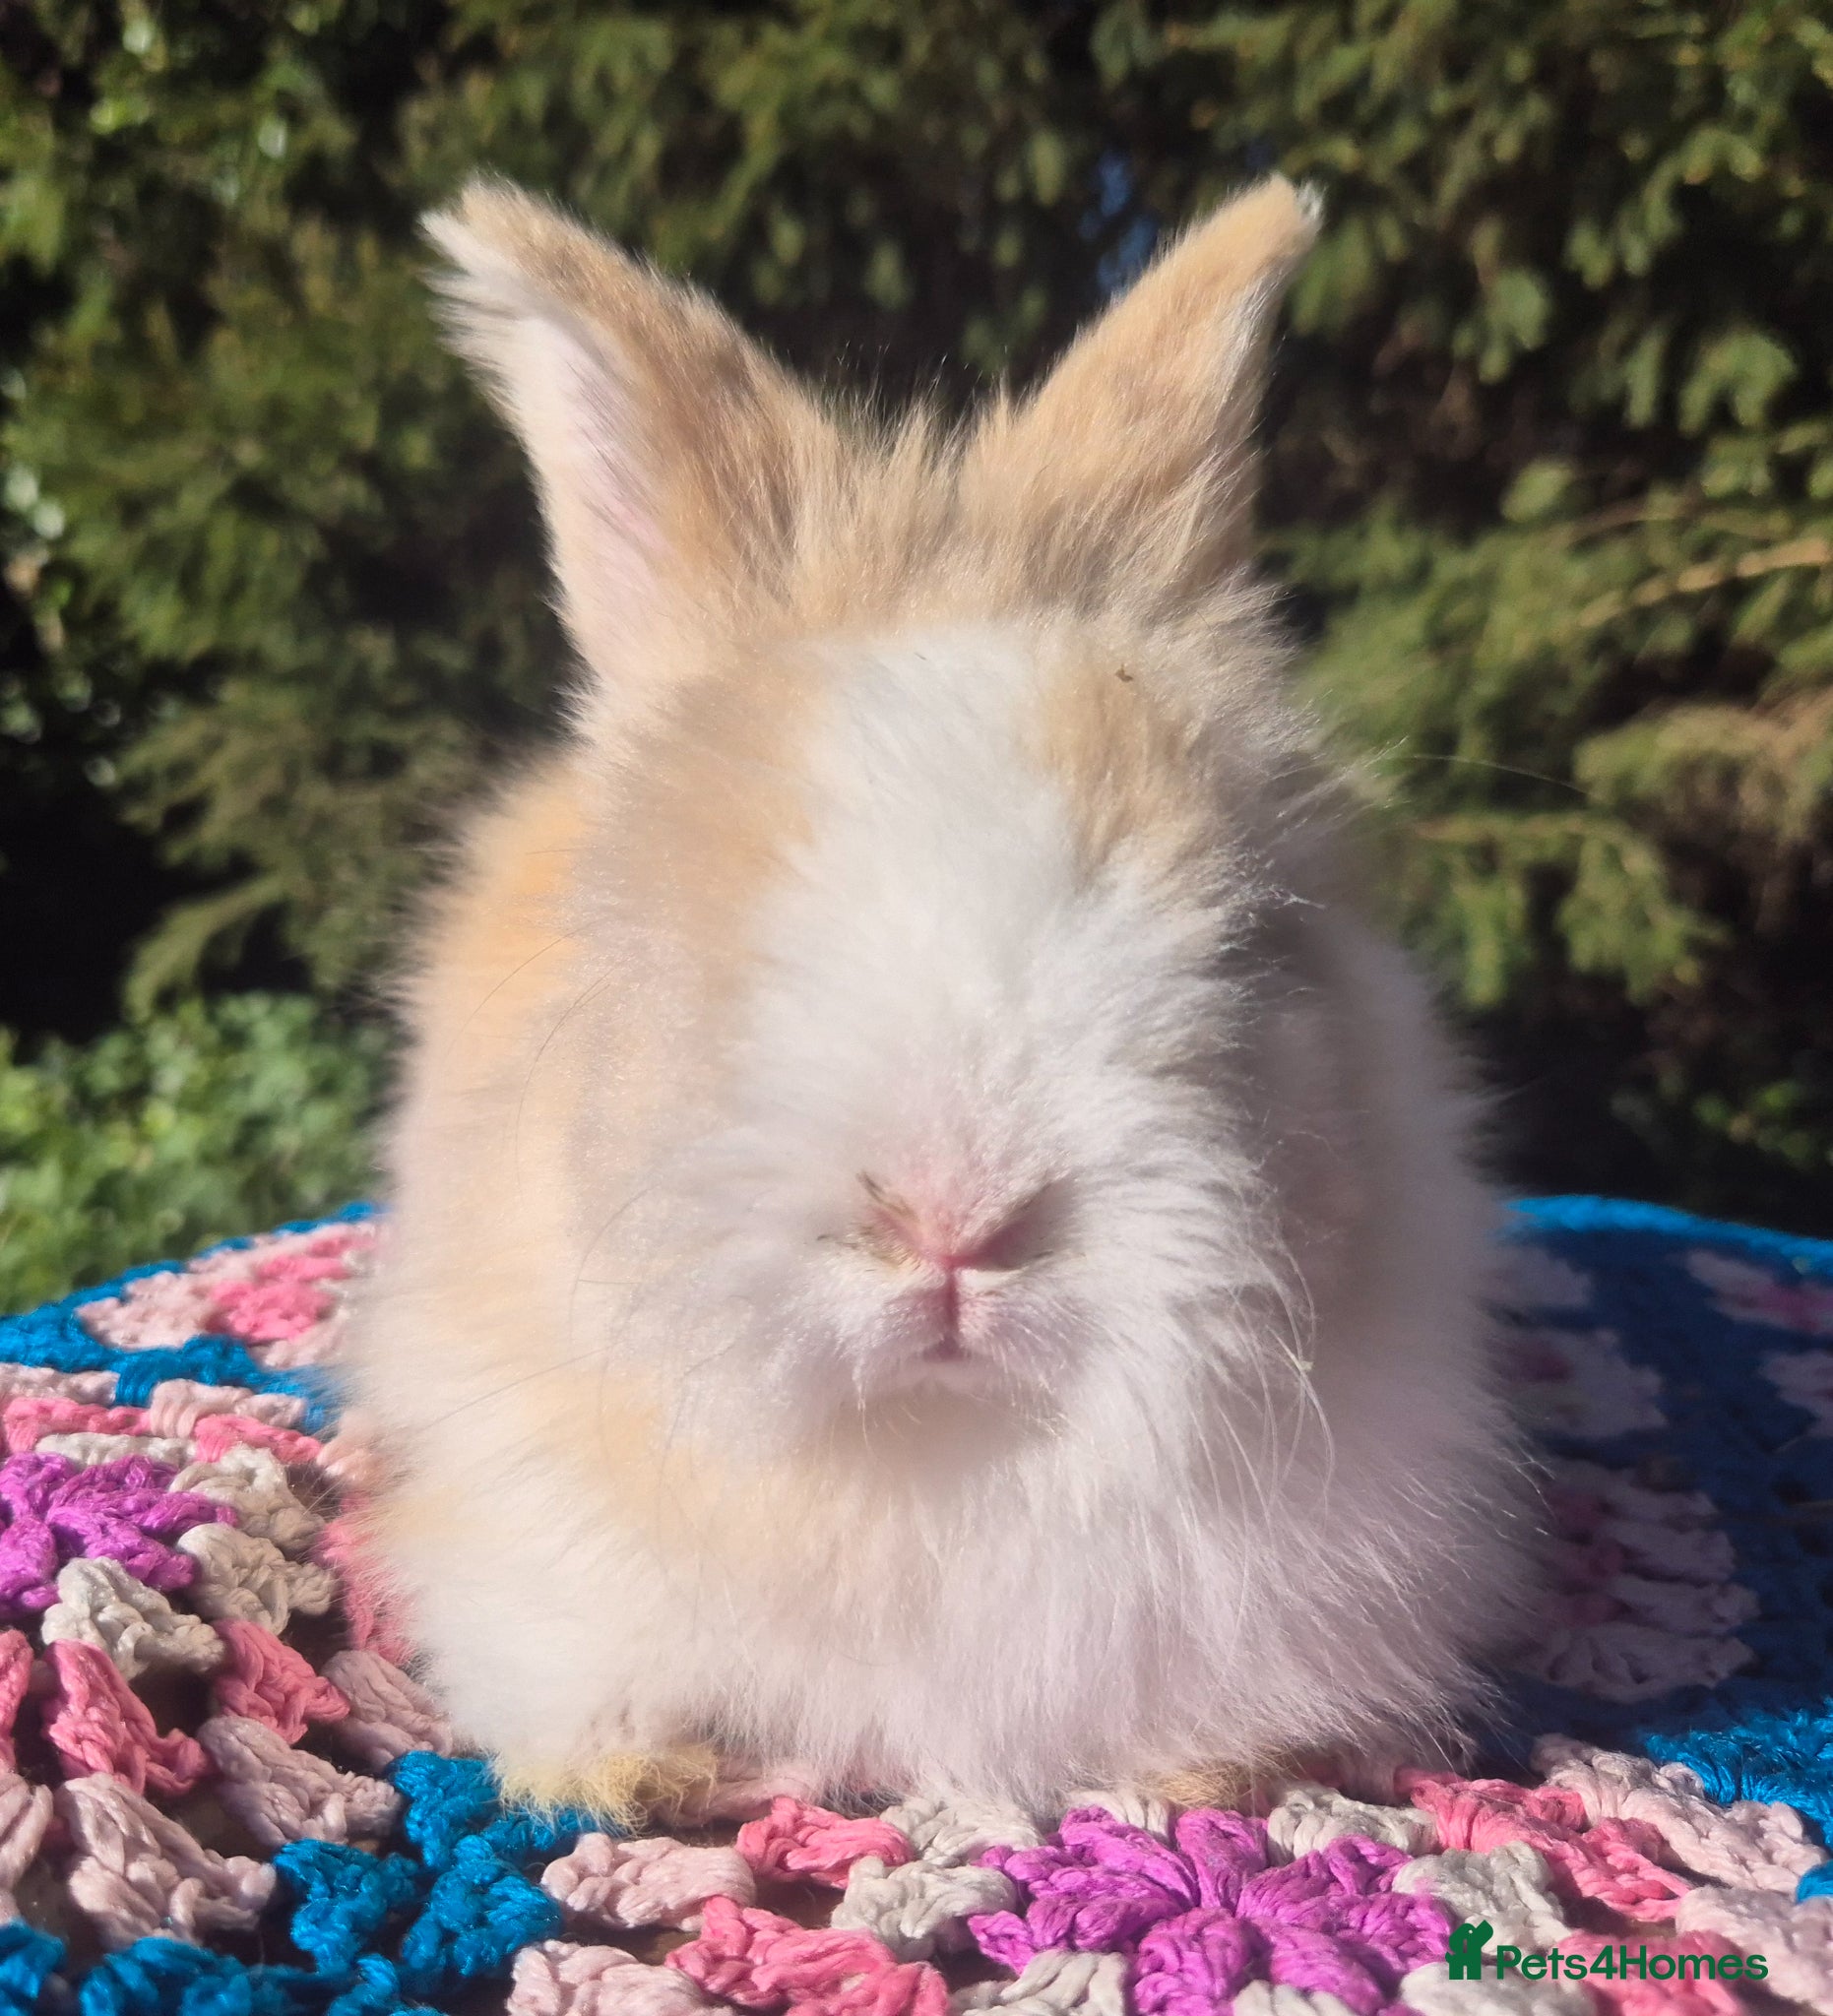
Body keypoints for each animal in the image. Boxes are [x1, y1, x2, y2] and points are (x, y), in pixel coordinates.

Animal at [347, 171, 1531, 1823]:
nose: (955, 1224)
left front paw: (1214, 1775)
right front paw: (646, 1777)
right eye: (666, 942)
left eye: (1243, 938)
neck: (942, 1466)